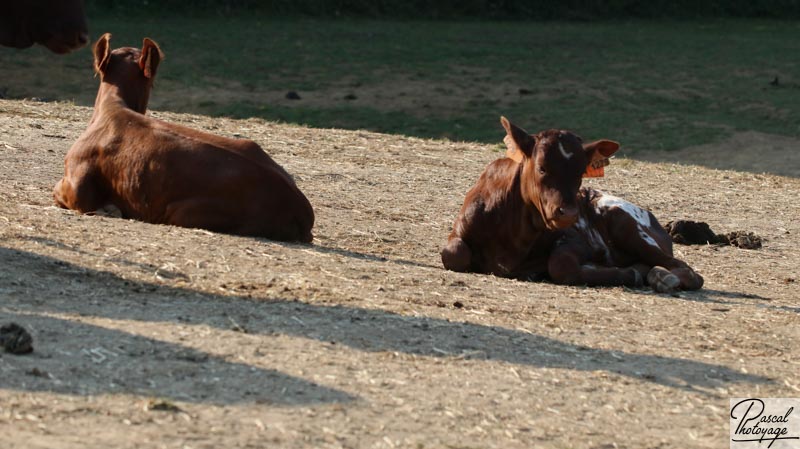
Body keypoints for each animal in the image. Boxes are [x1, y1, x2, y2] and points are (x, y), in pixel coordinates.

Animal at [440, 117, 704, 292]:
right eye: (542, 167)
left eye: (580, 172)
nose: (567, 213)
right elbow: (454, 255)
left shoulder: (576, 240)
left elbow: (561, 265)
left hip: (626, 224)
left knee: (688, 272)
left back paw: (662, 277)